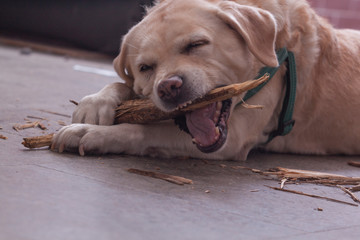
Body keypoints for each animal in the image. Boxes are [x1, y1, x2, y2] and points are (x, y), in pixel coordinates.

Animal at [52, 0, 360, 161]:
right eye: (145, 68)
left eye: (196, 44)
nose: (168, 87)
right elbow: (121, 84)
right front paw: (95, 103)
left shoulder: (233, 138)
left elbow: (141, 131)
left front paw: (92, 134)